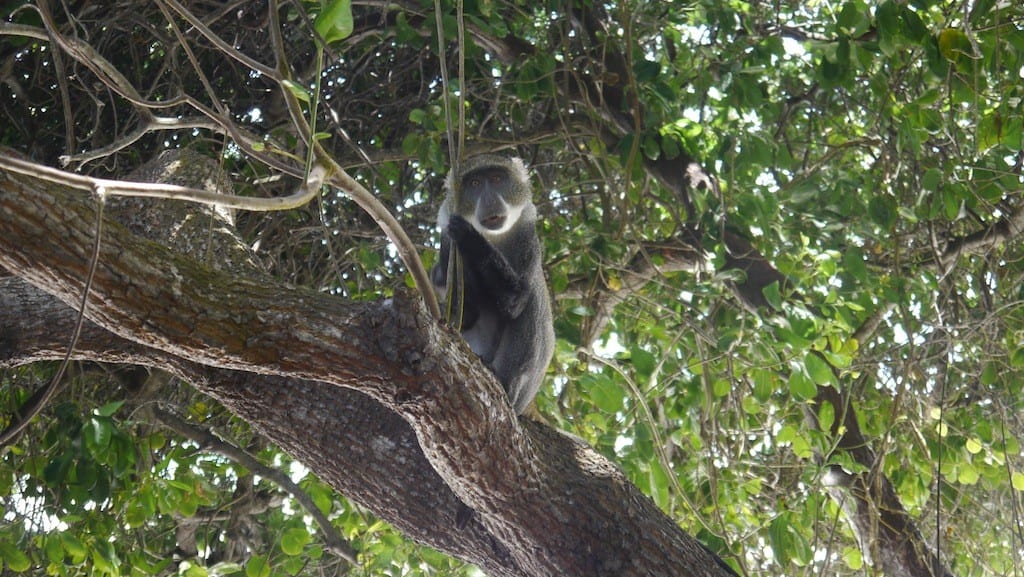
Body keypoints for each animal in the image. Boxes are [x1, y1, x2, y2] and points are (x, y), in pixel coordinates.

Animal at [432, 155, 555, 414]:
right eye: (475, 184)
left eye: (497, 178)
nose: (490, 199)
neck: (494, 237)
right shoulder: (447, 246)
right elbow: (465, 315)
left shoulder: (529, 240)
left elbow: (516, 301)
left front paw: (470, 237)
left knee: (533, 302)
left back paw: (503, 380)